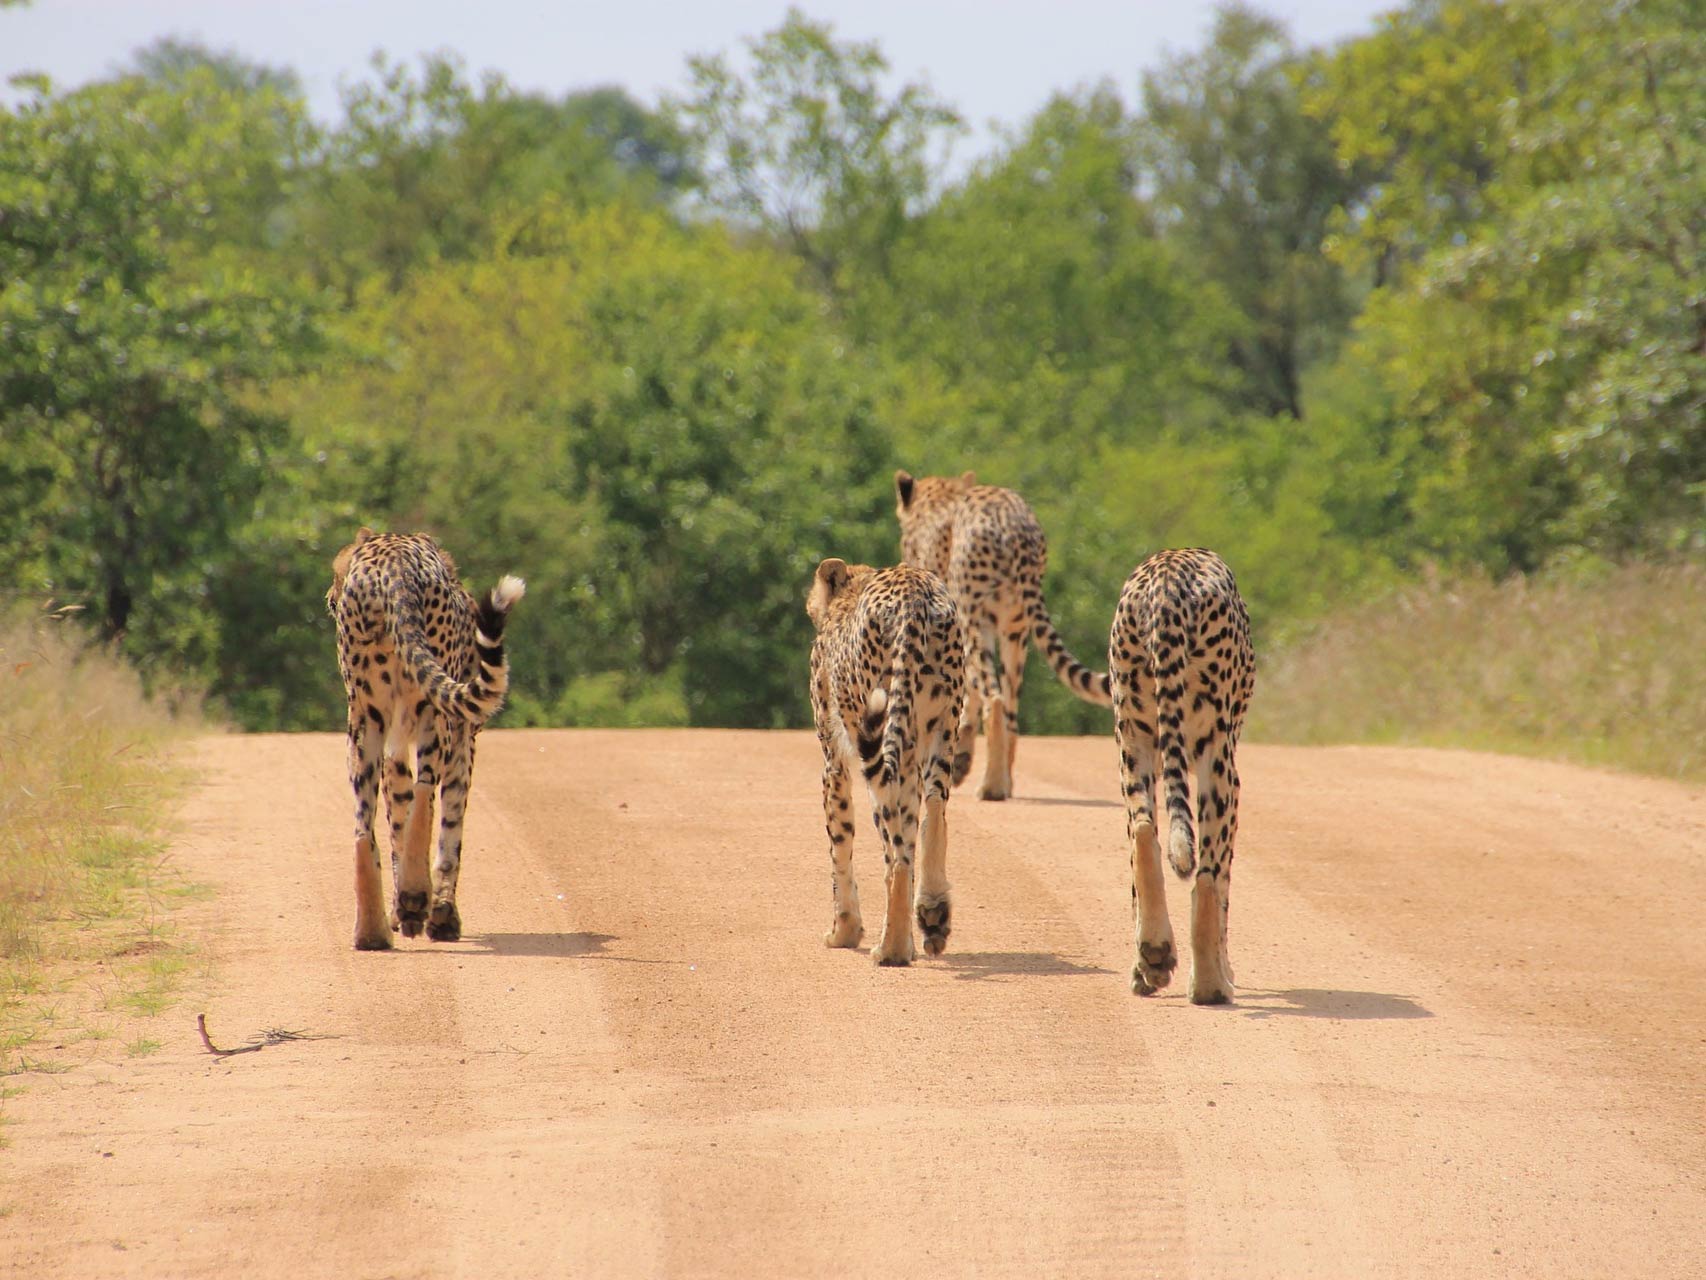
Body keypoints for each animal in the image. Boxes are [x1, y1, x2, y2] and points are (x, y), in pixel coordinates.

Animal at [325, 532, 522, 955]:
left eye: (336, 570)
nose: (330, 596)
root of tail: (393, 562)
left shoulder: (396, 744)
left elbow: (398, 816)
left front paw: (409, 912)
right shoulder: (463, 739)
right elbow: (450, 825)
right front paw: (440, 913)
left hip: (365, 722)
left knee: (364, 826)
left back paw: (372, 931)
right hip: (434, 715)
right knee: (425, 793)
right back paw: (416, 897)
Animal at [808, 556, 969, 969]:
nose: (812, 606)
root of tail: (913, 592)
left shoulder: (833, 761)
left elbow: (839, 844)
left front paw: (844, 931)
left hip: (880, 738)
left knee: (894, 850)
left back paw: (891, 948)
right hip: (939, 726)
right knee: (932, 811)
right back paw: (932, 912)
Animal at [893, 477, 1119, 802]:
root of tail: (1015, 528)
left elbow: (967, 693)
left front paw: (960, 759)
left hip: (975, 619)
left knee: (995, 699)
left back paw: (992, 787)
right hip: (1016, 628)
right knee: (1011, 706)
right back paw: (1005, 780)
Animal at [1105, 546, 1255, 1010]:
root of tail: (1166, 579)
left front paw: (1142, 970)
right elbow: (1223, 881)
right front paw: (1226, 969)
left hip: (1132, 740)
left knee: (1142, 832)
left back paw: (1153, 955)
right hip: (1215, 757)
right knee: (1206, 872)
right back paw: (1210, 984)